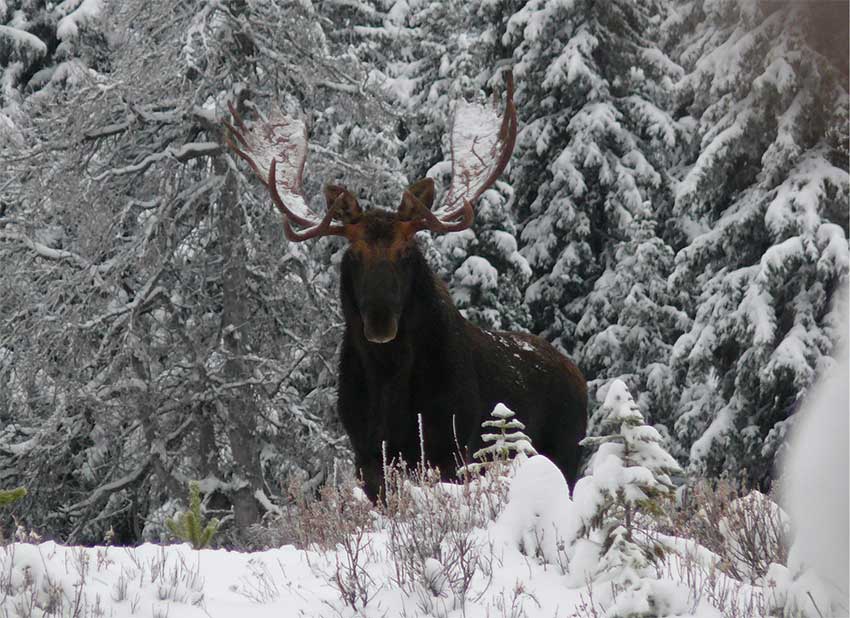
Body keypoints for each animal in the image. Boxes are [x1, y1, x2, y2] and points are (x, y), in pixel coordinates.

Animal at [222, 72, 588, 498]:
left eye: (406, 252)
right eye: (354, 254)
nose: (380, 321)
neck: (389, 382)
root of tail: (579, 376)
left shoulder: (453, 451)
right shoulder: (367, 459)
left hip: (565, 453)